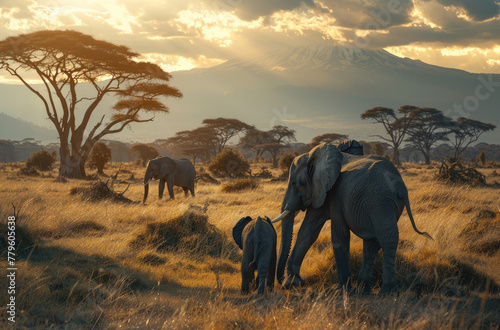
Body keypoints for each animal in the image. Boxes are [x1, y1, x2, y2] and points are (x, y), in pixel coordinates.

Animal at [272, 141, 432, 296]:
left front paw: (341, 290)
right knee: (373, 243)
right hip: (385, 203)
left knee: (386, 238)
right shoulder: (322, 192)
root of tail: (400, 186)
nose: (282, 282)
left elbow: (339, 235)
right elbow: (308, 232)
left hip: (380, 201)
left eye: (295, 183)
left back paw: (387, 292)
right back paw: (364, 289)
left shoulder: (335, 194)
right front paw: (293, 283)